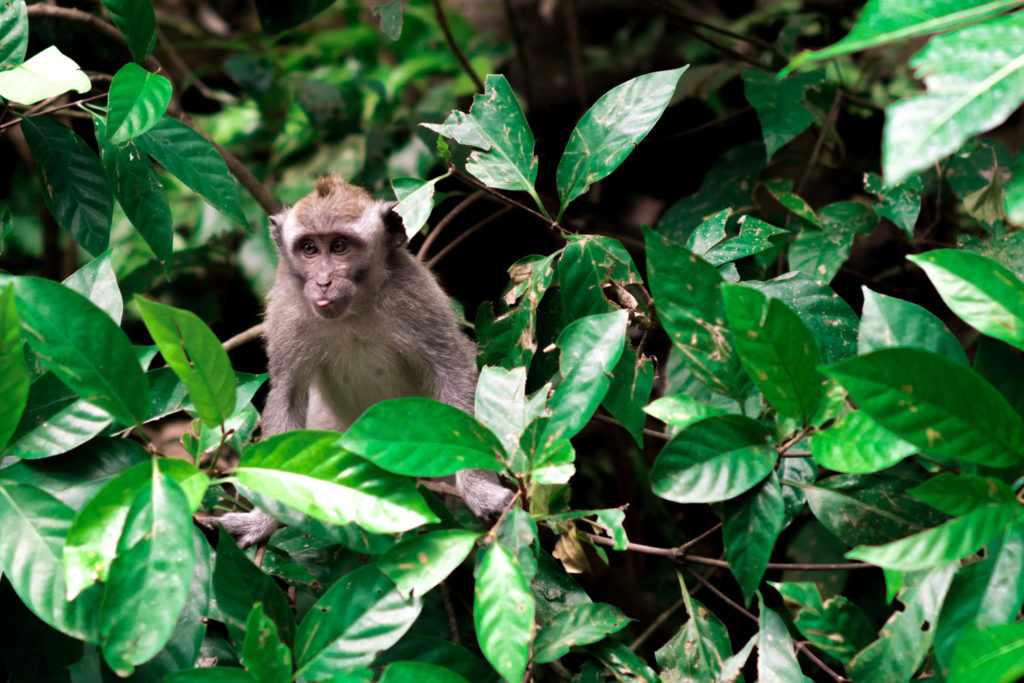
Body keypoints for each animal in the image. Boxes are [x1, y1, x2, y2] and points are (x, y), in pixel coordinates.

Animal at [217, 174, 514, 548]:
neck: (352, 313)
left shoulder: (415, 296)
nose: (323, 282)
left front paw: (479, 489)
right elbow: (287, 394)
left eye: (339, 247)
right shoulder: (287, 312)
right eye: (309, 249)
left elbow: (453, 370)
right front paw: (264, 519)